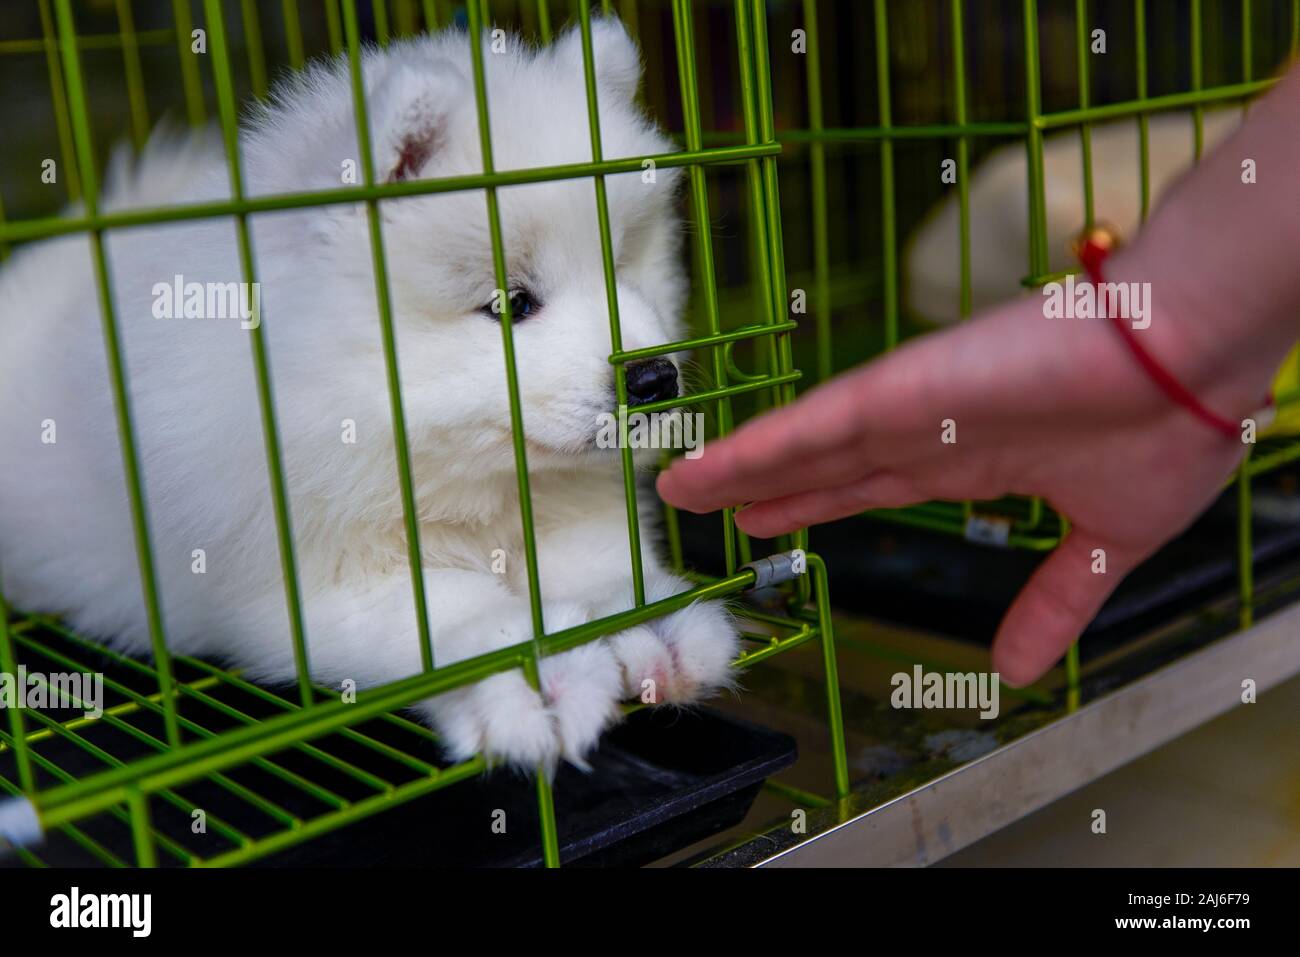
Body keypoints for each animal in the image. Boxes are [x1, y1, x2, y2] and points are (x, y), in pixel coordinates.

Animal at [0, 20, 743, 769]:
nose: (654, 379)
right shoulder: (306, 583)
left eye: (621, 267)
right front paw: (533, 679)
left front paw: (656, 623)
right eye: (511, 303)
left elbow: (600, 564)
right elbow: (451, 609)